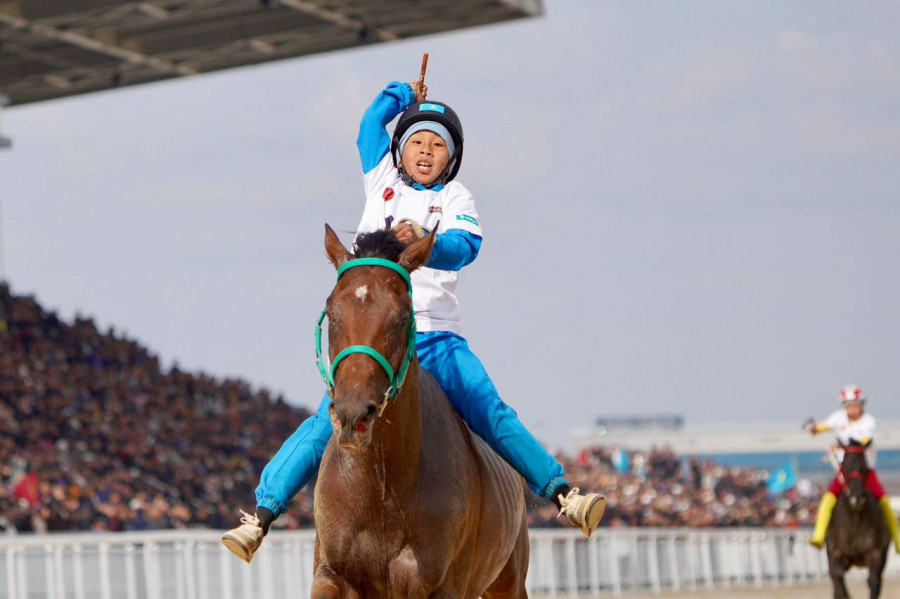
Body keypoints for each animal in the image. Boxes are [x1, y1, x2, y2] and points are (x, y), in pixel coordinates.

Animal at [312, 226, 532, 599]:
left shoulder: (441, 584)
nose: (353, 415)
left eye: (401, 318)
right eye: (333, 313)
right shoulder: (331, 572)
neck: (382, 486)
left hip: (509, 581)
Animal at [828, 442, 888, 596]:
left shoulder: (876, 553)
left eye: (864, 466)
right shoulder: (835, 554)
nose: (857, 497)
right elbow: (838, 580)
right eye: (845, 465)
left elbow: (873, 581)